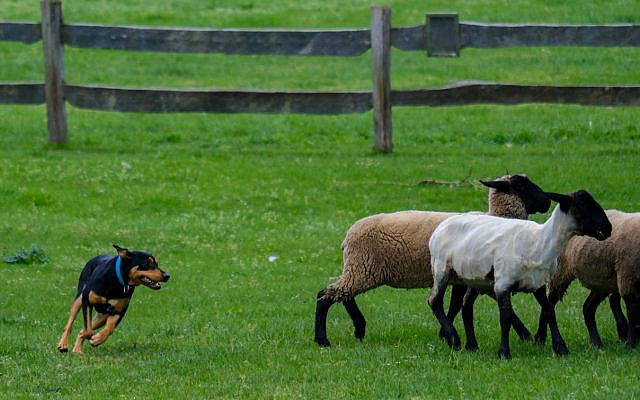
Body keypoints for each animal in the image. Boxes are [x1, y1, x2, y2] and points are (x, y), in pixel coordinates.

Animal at [314, 174, 551, 347]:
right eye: (524, 185)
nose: (548, 201)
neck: (497, 217)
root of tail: (348, 236)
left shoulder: (460, 279)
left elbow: (455, 305)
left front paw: (445, 334)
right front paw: (525, 334)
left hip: (360, 268)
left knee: (344, 295)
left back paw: (359, 328)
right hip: (363, 267)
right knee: (327, 295)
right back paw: (323, 340)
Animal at [428, 190, 612, 358]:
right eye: (582, 205)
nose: (608, 229)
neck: (539, 243)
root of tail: (439, 229)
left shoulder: (538, 283)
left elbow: (549, 312)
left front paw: (561, 349)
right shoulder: (503, 283)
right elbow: (505, 317)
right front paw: (504, 352)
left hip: (473, 278)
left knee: (466, 306)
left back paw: (472, 345)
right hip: (441, 268)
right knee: (434, 300)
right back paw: (454, 339)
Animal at [535, 209, 640, 348]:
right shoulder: (627, 276)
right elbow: (633, 312)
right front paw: (631, 344)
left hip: (601, 281)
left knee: (588, 308)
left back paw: (596, 343)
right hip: (560, 272)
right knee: (549, 303)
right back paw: (540, 338)